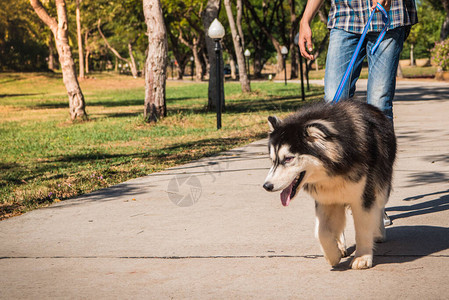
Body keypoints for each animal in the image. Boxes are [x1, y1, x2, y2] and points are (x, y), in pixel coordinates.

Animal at [262, 99, 396, 270]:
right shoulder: (325, 199)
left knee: (379, 205)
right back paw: (340, 244)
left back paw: (378, 232)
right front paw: (333, 255)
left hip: (381, 186)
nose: (267, 186)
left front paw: (362, 257)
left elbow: (362, 228)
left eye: (288, 158)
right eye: (273, 160)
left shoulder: (363, 196)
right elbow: (322, 232)